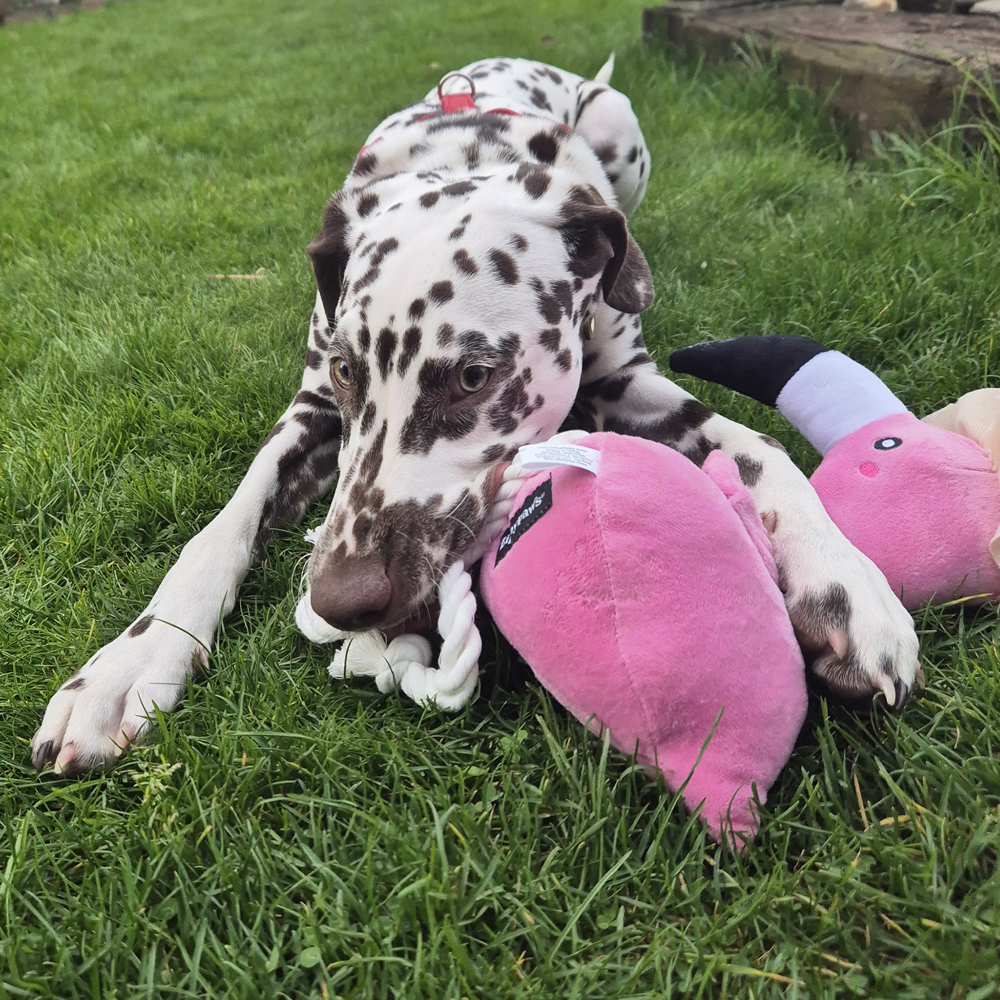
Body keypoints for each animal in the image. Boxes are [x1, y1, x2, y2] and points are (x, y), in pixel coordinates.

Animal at [31, 54, 920, 776]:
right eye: (349, 369)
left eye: (472, 376)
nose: (340, 599)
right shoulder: (314, 409)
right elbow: (219, 529)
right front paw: (130, 661)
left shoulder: (629, 383)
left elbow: (761, 445)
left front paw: (843, 582)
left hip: (616, 119)